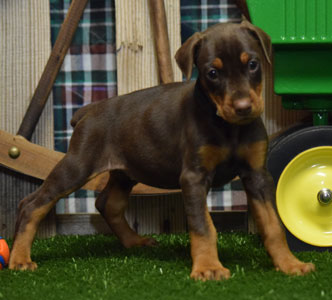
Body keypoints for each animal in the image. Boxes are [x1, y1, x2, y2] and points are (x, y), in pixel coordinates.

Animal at [9, 19, 314, 280]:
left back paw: (135, 241)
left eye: (252, 64)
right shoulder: (193, 177)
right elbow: (203, 226)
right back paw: (20, 258)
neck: (229, 128)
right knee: (33, 204)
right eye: (212, 73)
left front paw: (289, 264)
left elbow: (273, 224)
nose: (243, 108)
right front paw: (208, 268)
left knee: (107, 203)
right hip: (78, 165)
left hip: (125, 171)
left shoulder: (257, 175)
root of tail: (90, 110)